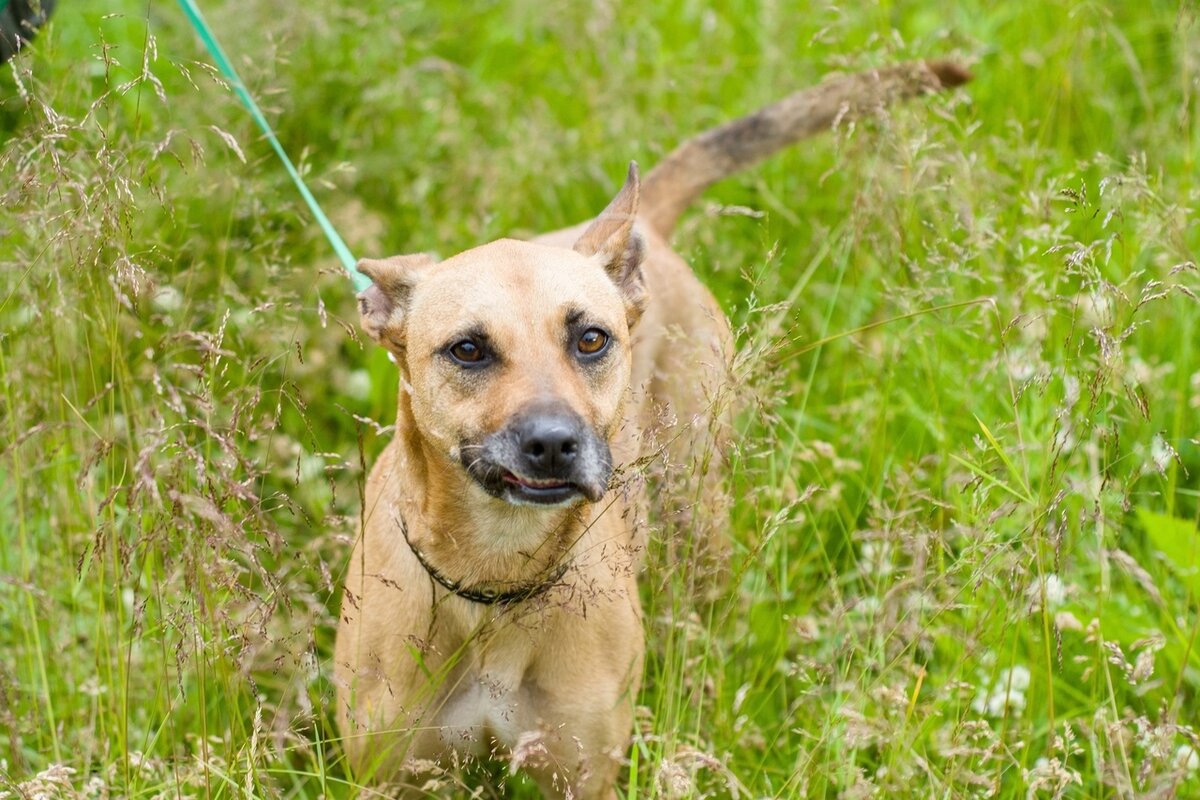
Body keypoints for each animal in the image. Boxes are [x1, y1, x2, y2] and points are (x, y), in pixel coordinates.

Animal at [333, 59, 969, 796]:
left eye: (591, 339)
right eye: (467, 350)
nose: (553, 443)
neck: (495, 577)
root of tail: (640, 234)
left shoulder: (584, 772)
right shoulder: (396, 773)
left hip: (698, 511)